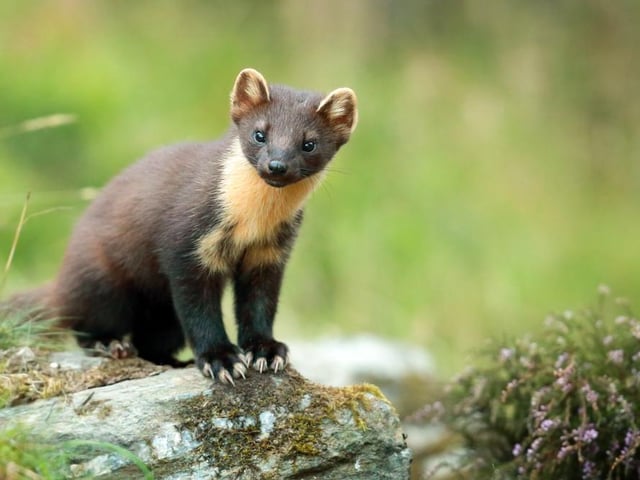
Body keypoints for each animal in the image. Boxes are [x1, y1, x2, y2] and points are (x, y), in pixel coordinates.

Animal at [8, 68, 357, 384]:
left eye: (309, 144)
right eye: (260, 134)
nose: (277, 165)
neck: (253, 222)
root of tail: (62, 276)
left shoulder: (271, 252)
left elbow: (260, 306)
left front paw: (266, 351)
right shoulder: (186, 245)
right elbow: (198, 311)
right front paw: (221, 360)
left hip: (163, 317)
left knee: (150, 342)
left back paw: (175, 362)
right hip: (102, 279)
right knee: (85, 322)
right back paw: (110, 343)